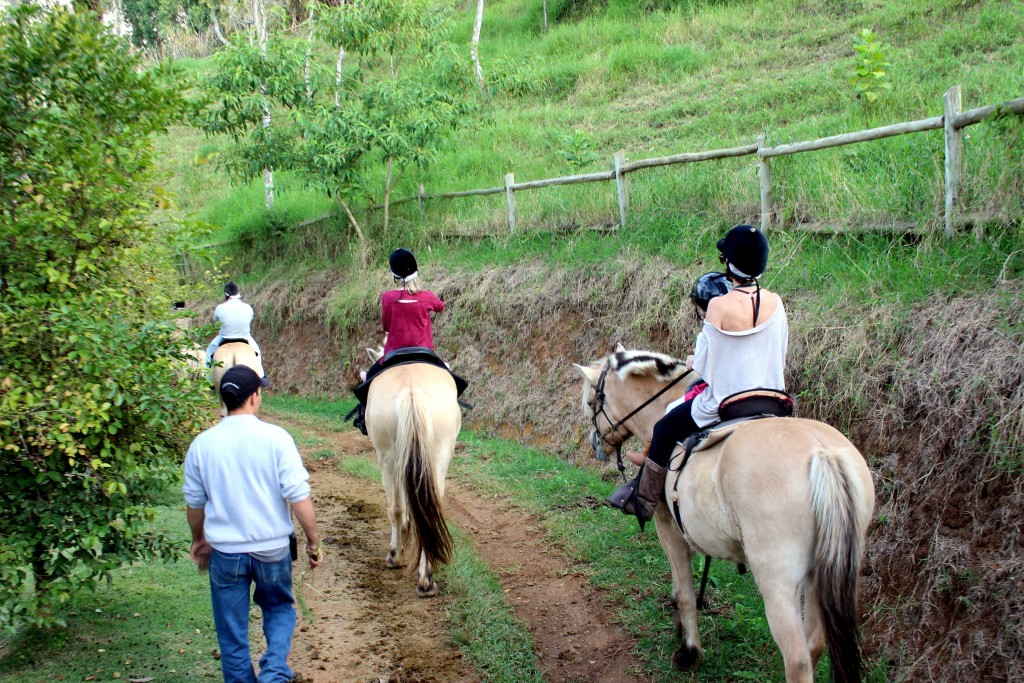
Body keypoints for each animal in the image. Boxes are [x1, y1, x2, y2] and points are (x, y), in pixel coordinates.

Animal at [366, 362, 458, 598]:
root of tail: (411, 390)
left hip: (388, 456)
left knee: (396, 509)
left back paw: (396, 557)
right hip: (438, 455)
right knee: (429, 509)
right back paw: (426, 578)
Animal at [573, 348, 876, 683]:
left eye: (592, 402)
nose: (594, 444)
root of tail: (822, 453)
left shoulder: (668, 527)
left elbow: (685, 591)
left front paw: (688, 651)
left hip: (777, 579)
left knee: (797, 659)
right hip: (820, 574)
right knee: (815, 645)